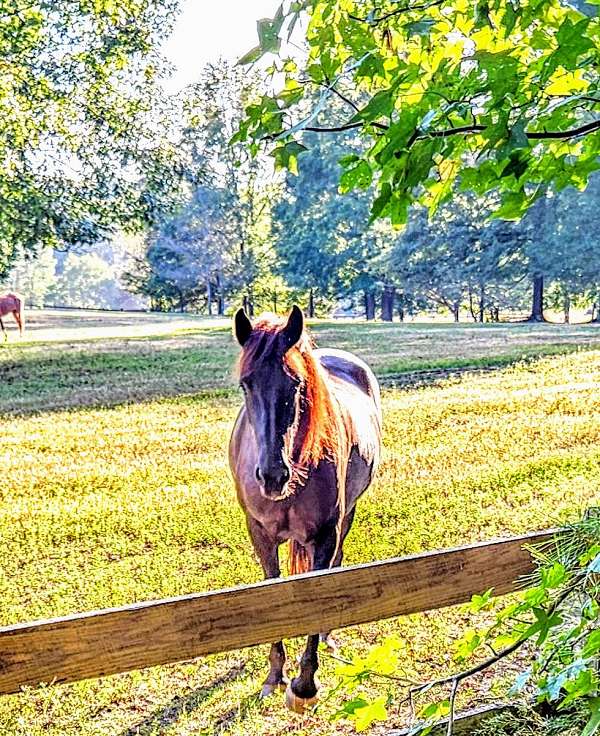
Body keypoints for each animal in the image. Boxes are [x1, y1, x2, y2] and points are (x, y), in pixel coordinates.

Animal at [227, 306, 382, 712]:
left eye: (296, 384)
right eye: (246, 383)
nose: (272, 475)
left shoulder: (325, 534)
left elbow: (319, 595)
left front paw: (304, 684)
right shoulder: (260, 536)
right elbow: (274, 592)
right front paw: (274, 676)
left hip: (348, 515)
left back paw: (328, 637)